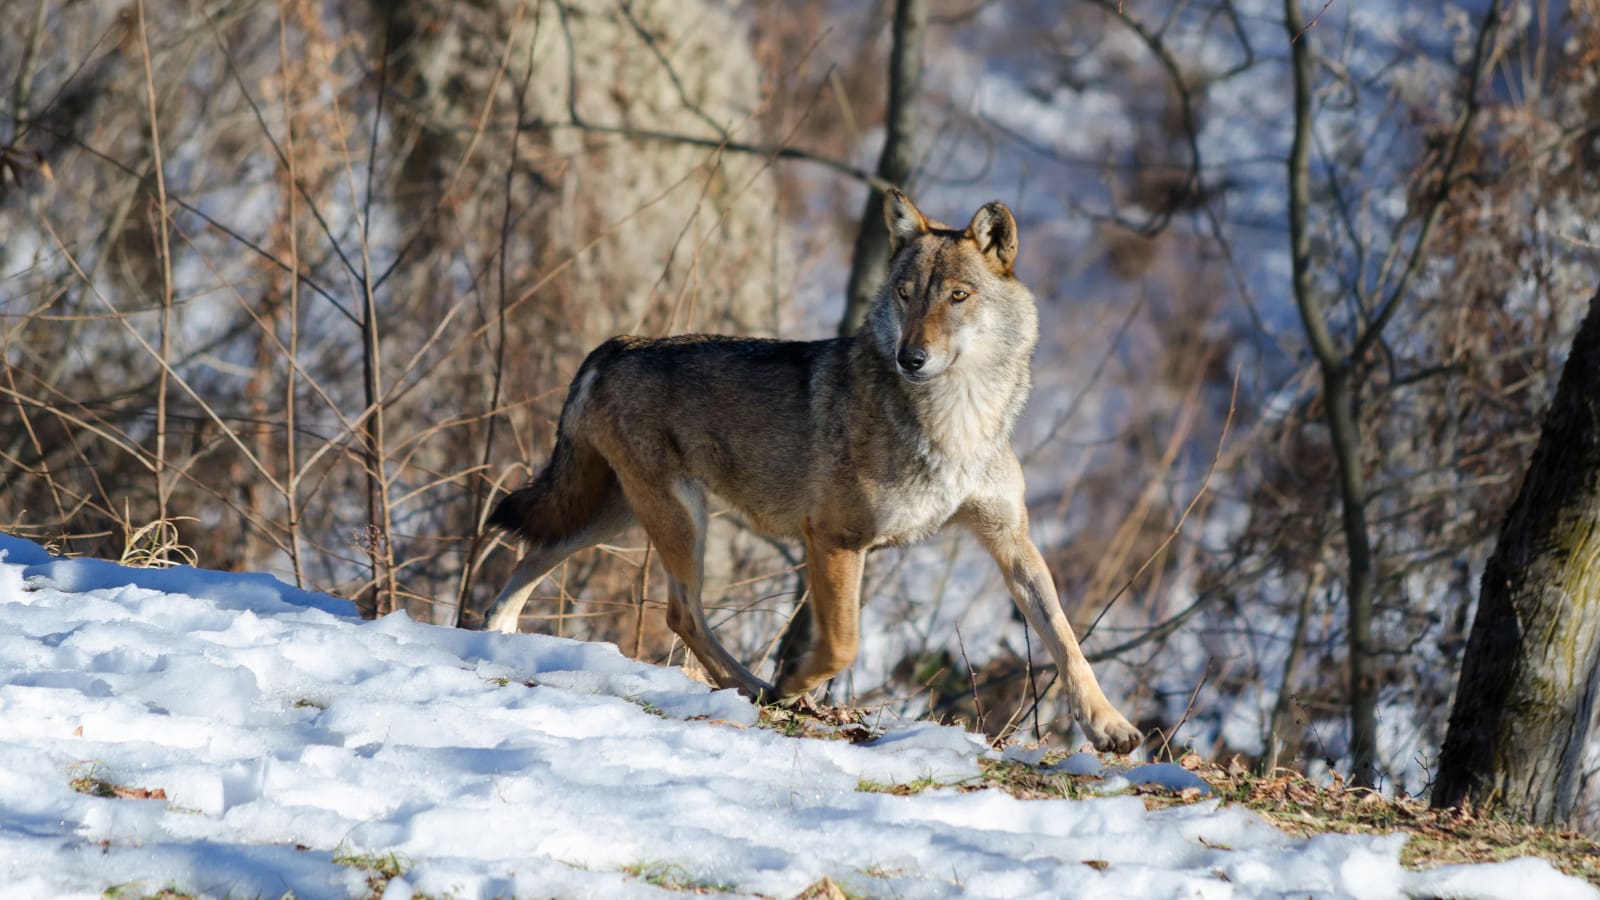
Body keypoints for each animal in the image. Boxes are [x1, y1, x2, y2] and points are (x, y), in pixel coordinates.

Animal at [480, 188, 1145, 749]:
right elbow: (843, 644)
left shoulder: (1011, 539)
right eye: (906, 294)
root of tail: (615, 345)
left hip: (620, 517)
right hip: (679, 518)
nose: (910, 357)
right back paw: (756, 688)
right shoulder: (833, 538)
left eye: (958, 296)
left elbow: (1066, 637)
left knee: (535, 558)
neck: (958, 418)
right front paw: (795, 683)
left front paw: (1108, 725)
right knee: (681, 612)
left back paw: (497, 636)